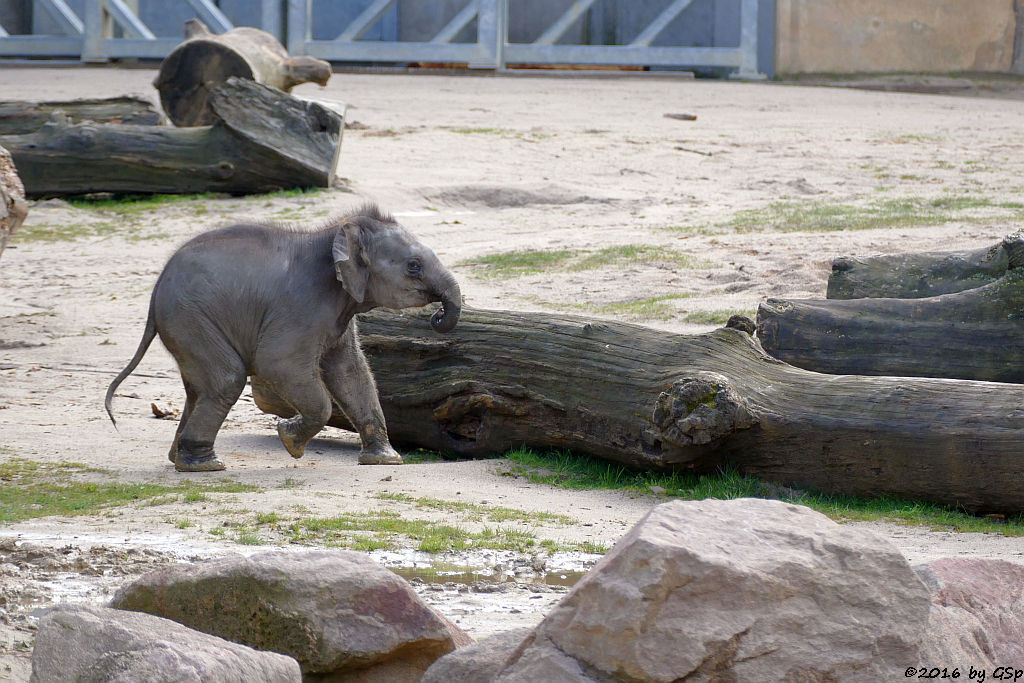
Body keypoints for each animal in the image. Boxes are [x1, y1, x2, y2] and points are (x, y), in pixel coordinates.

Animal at [104, 202, 460, 471]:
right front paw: (288, 439)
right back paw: (205, 465)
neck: (334, 234)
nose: (436, 316)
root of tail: (155, 294)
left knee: (198, 388)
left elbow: (351, 373)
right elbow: (277, 364)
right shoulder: (301, 307)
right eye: (414, 266)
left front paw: (385, 461)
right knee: (227, 379)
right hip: (191, 318)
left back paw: (182, 459)